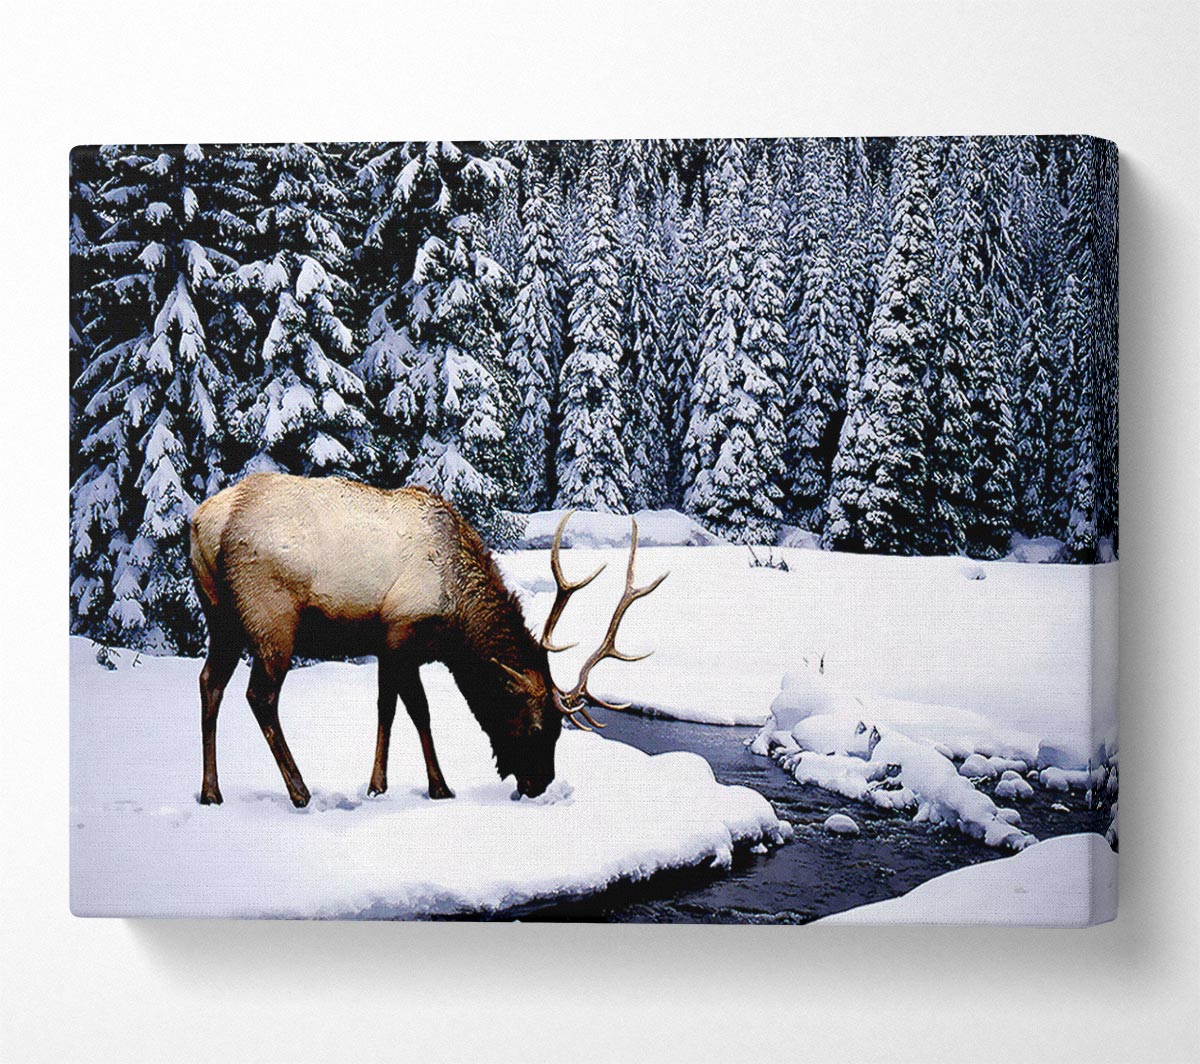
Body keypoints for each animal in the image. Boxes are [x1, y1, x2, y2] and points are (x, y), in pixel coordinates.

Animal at [188, 472, 667, 807]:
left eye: (559, 731)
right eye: (537, 727)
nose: (538, 784)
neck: (457, 614)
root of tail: (203, 523)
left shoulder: (397, 647)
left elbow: (398, 710)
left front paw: (393, 784)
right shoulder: (400, 632)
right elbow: (412, 710)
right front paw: (424, 786)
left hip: (221, 618)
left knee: (210, 683)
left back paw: (211, 791)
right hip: (272, 619)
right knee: (259, 696)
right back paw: (299, 790)